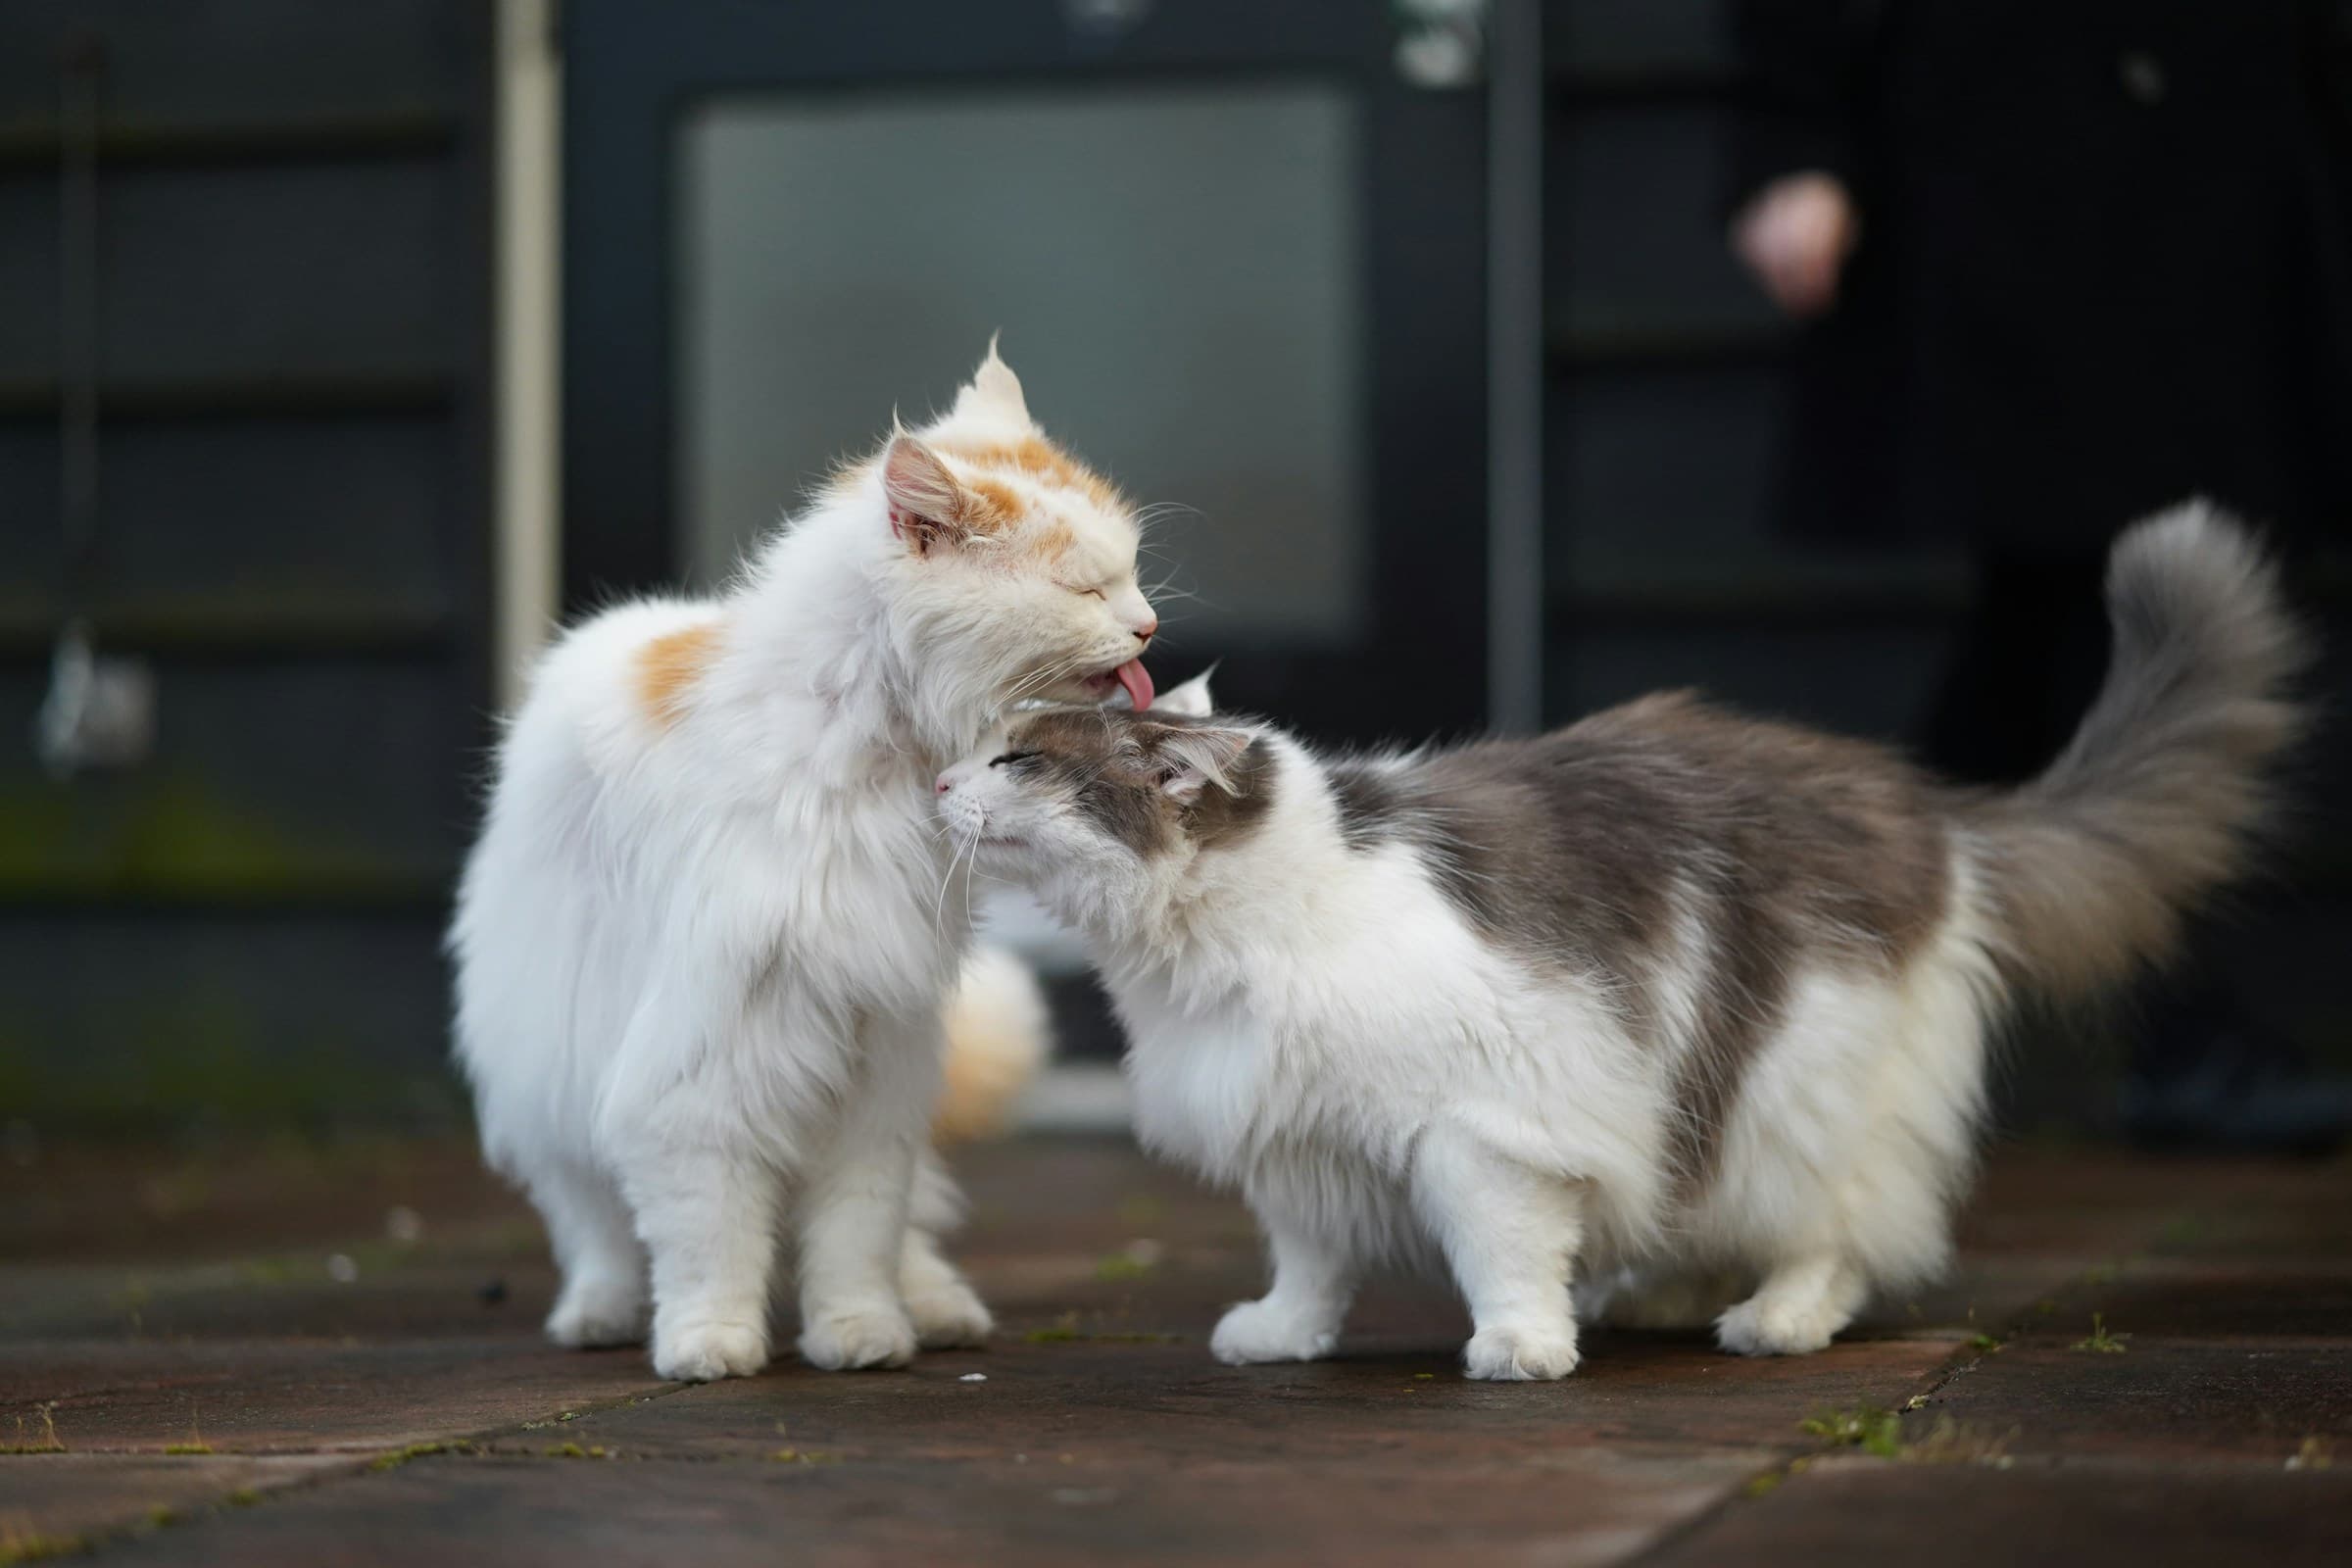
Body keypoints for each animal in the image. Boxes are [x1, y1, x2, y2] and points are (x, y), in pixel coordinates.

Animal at [449, 350, 1156, 1382]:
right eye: (1086, 590)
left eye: (1130, 573)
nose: (1149, 627)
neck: (869, 750)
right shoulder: (696, 1066)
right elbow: (709, 1238)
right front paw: (708, 1344)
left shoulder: (873, 1066)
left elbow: (856, 1236)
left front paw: (861, 1335)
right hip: (558, 1061)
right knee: (596, 1224)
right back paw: (601, 1313)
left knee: (909, 1232)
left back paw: (937, 1308)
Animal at [931, 510, 2295, 1382]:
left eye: (1016, 760)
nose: (937, 782)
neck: (1226, 942)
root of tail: (1928, 807)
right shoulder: (1297, 1134)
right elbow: (1311, 1262)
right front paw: (1281, 1335)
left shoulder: (1483, 1126)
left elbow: (1502, 1252)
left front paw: (1521, 1349)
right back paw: (1660, 1294)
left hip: (1797, 1089)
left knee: (1839, 1233)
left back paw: (1771, 1320)